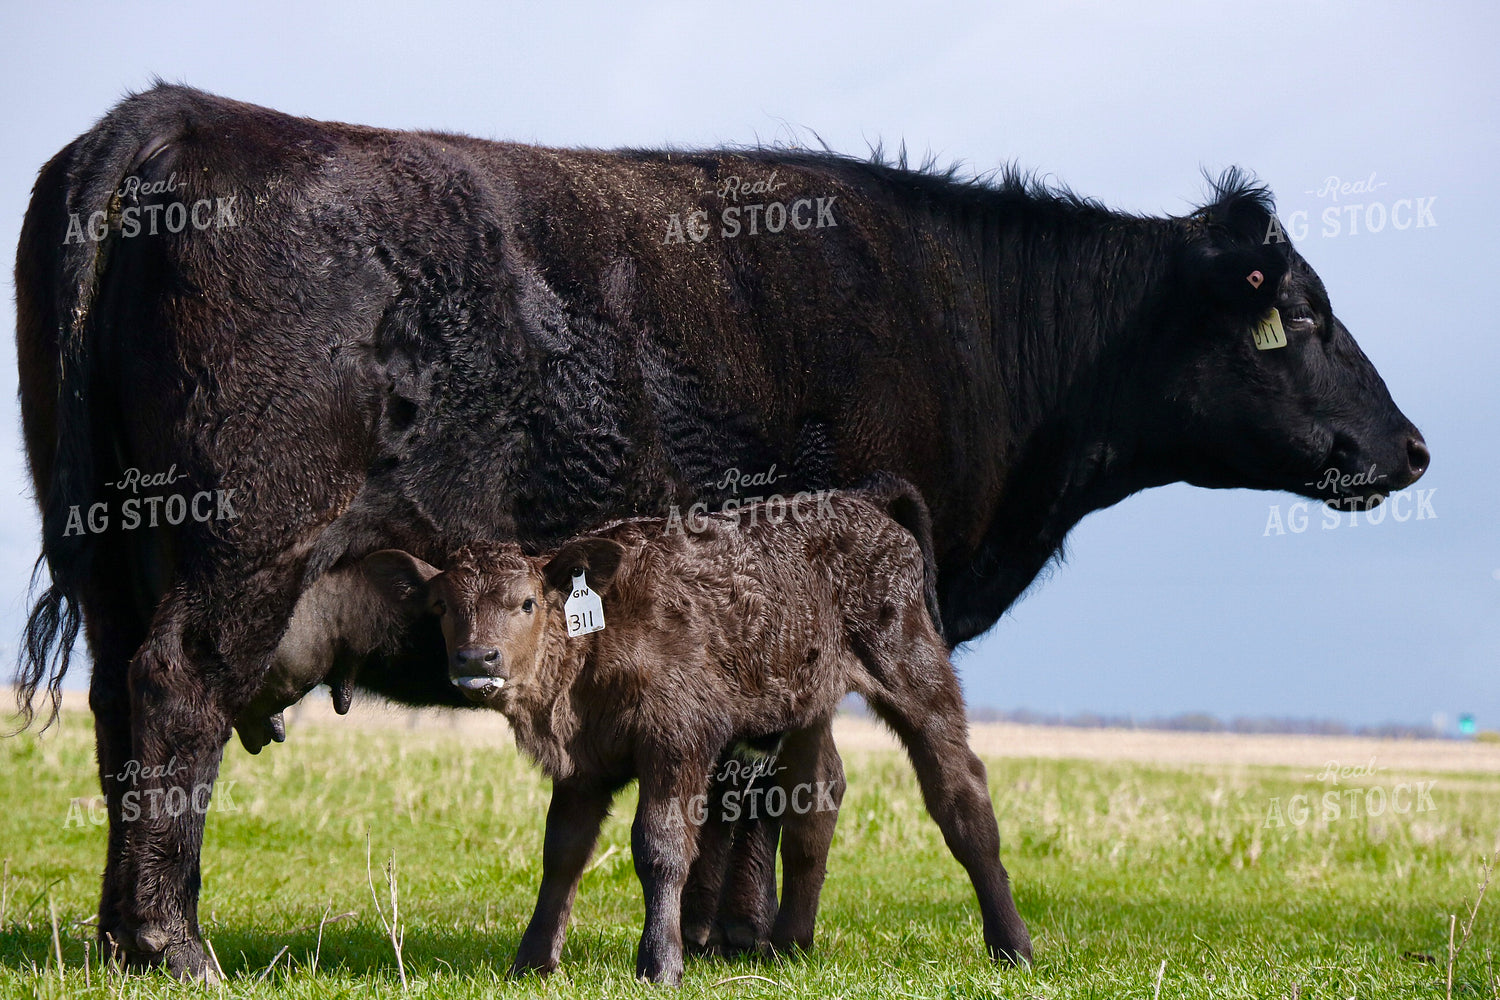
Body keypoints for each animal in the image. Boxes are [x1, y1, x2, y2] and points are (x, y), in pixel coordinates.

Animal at [362, 487, 1027, 985]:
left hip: (913, 667)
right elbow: (563, 852)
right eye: (442, 607)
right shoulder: (583, 766)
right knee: (815, 799)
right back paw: (790, 944)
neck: (597, 638)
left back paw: (1012, 944)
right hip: (807, 705)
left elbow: (661, 847)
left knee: (961, 793)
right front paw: (532, 961)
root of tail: (866, 505)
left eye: (526, 602)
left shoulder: (677, 743)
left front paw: (660, 963)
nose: (477, 660)